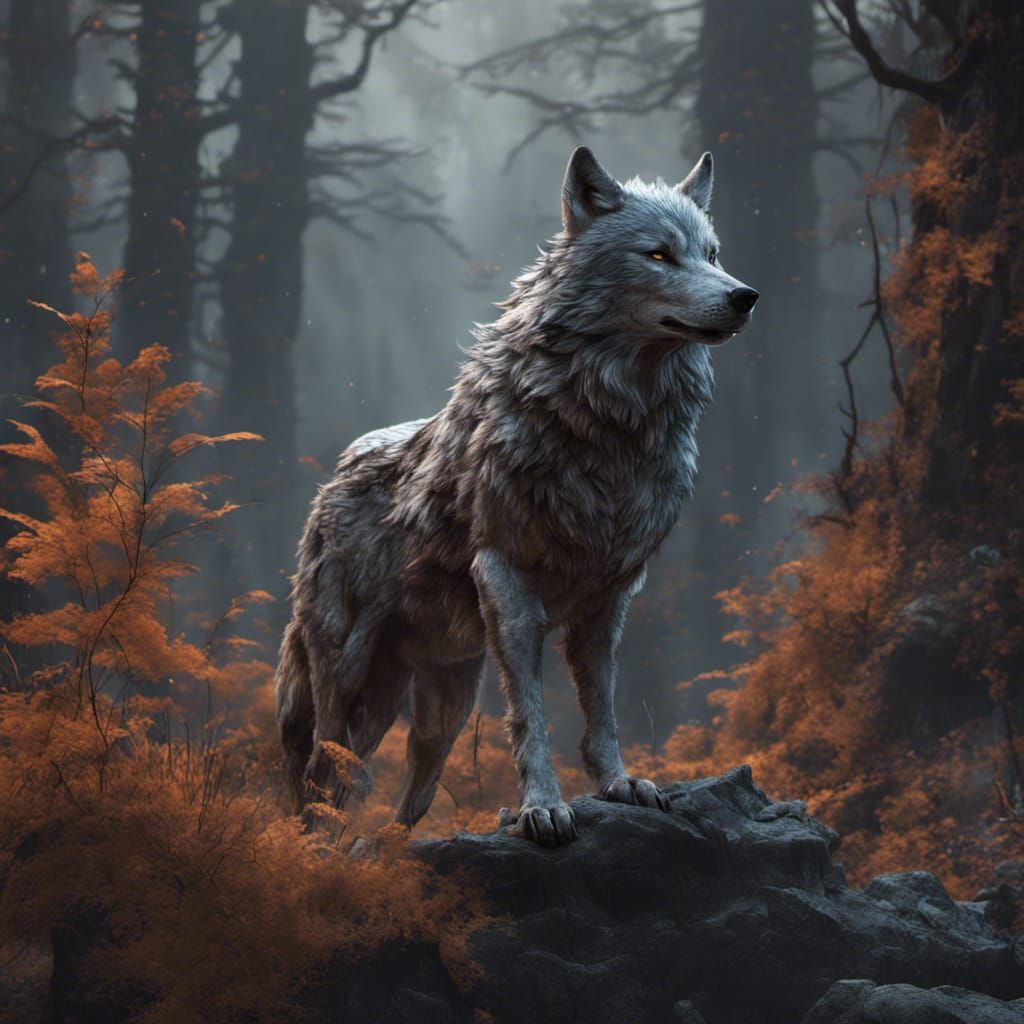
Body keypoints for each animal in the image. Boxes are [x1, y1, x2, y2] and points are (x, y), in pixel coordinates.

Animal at [275, 146, 758, 846]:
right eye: (659, 255)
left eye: (713, 254)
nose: (745, 297)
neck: (605, 429)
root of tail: (332, 477)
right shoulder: (506, 581)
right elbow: (530, 714)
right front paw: (541, 808)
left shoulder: (611, 596)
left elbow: (601, 709)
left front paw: (619, 784)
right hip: (345, 676)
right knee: (319, 774)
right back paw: (313, 851)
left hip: (441, 706)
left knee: (400, 793)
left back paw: (377, 851)